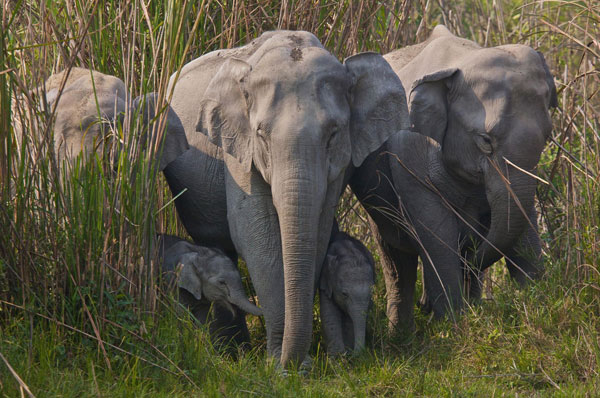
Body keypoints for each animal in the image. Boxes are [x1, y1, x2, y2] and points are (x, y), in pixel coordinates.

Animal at [318, 225, 376, 356]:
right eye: (344, 294)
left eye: (371, 294)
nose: (358, 355)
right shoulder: (326, 282)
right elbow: (330, 313)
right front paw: (337, 357)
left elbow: (349, 320)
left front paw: (347, 354)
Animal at [346, 24, 556, 330]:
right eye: (485, 141)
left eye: (547, 135)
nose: (425, 305)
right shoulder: (408, 152)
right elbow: (436, 229)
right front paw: (451, 326)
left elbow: (523, 219)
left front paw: (535, 300)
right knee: (396, 257)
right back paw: (402, 333)